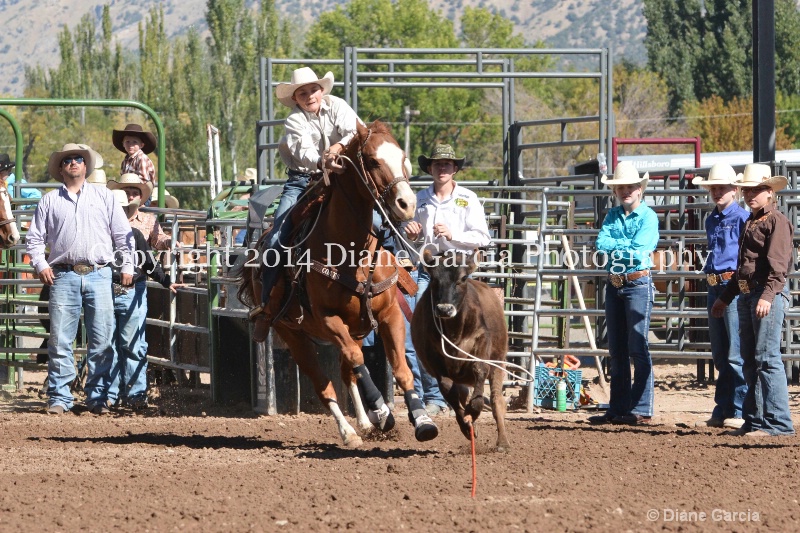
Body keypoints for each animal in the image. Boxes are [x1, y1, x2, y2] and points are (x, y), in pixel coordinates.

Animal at [238, 119, 438, 444]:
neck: (352, 254)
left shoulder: (390, 315)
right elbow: (356, 360)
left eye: (402, 157)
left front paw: (420, 420)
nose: (407, 204)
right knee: (326, 383)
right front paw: (381, 408)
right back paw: (350, 431)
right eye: (372, 161)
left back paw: (368, 421)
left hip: (355, 328)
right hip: (294, 335)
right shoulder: (328, 320)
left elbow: (400, 369)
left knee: (348, 373)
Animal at [416, 247, 510, 450]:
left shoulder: (481, 339)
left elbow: (480, 370)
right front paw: (467, 427)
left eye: (463, 278)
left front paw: (474, 411)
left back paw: (502, 442)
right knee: (460, 393)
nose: (444, 309)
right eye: (434, 278)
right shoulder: (433, 357)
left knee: (497, 399)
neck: (454, 331)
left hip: (499, 360)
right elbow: (447, 387)